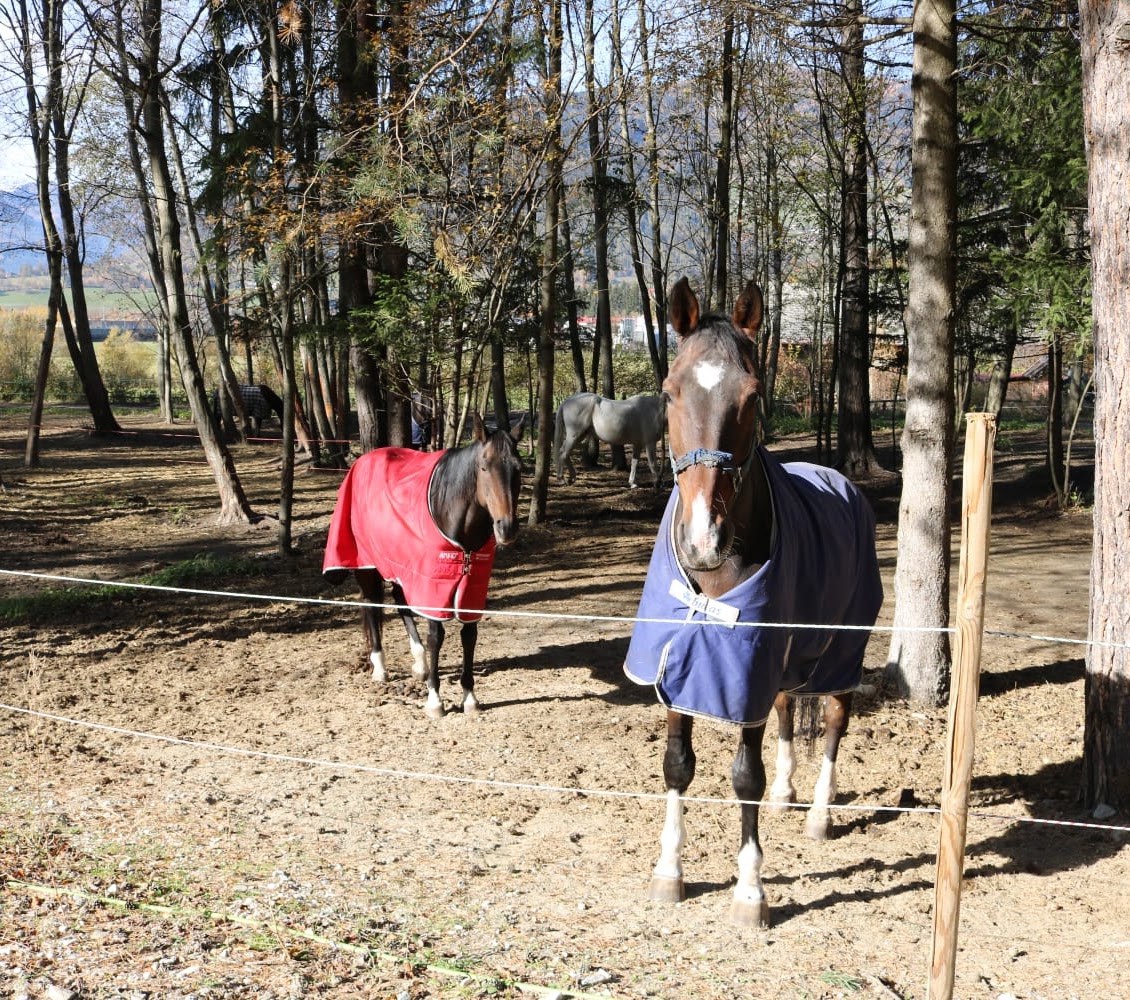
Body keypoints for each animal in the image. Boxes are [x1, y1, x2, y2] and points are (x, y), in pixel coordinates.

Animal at [322, 413, 523, 718]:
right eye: (484, 466)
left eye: (519, 469)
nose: (507, 529)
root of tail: (361, 461)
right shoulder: (434, 588)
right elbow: (436, 636)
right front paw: (435, 699)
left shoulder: (471, 589)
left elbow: (469, 636)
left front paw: (469, 697)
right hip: (367, 565)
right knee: (371, 605)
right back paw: (380, 667)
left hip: (401, 566)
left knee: (400, 600)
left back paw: (419, 664)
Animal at [623, 278, 883, 928]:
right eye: (669, 392)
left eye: (752, 394)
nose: (702, 540)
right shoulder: (678, 666)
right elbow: (677, 764)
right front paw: (669, 872)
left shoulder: (745, 676)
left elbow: (745, 777)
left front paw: (749, 892)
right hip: (792, 655)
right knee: (791, 705)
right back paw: (790, 795)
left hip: (843, 649)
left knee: (835, 720)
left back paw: (818, 815)